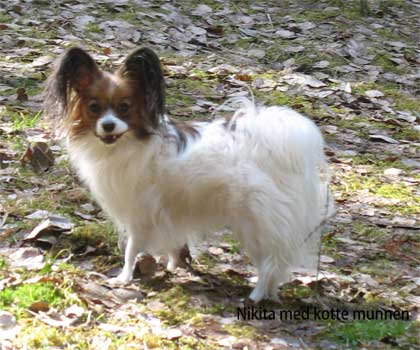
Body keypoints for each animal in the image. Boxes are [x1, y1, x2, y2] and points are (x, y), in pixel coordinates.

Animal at [44, 46, 334, 302]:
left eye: (124, 107)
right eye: (94, 107)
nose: (107, 125)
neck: (128, 143)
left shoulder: (140, 213)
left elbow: (131, 249)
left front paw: (124, 278)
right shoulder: (170, 213)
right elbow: (175, 242)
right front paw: (174, 266)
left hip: (256, 223)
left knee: (271, 262)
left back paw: (256, 295)